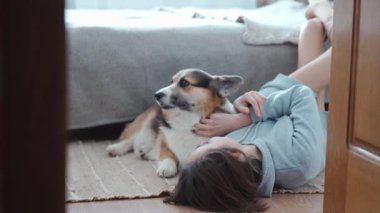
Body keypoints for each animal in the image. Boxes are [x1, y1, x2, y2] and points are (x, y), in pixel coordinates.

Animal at [107, 68, 243, 178]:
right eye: (171, 82)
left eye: (184, 82)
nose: (156, 95)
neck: (186, 122)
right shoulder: (164, 143)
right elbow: (168, 155)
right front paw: (166, 168)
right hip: (145, 121)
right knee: (130, 139)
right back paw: (116, 148)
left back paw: (144, 151)